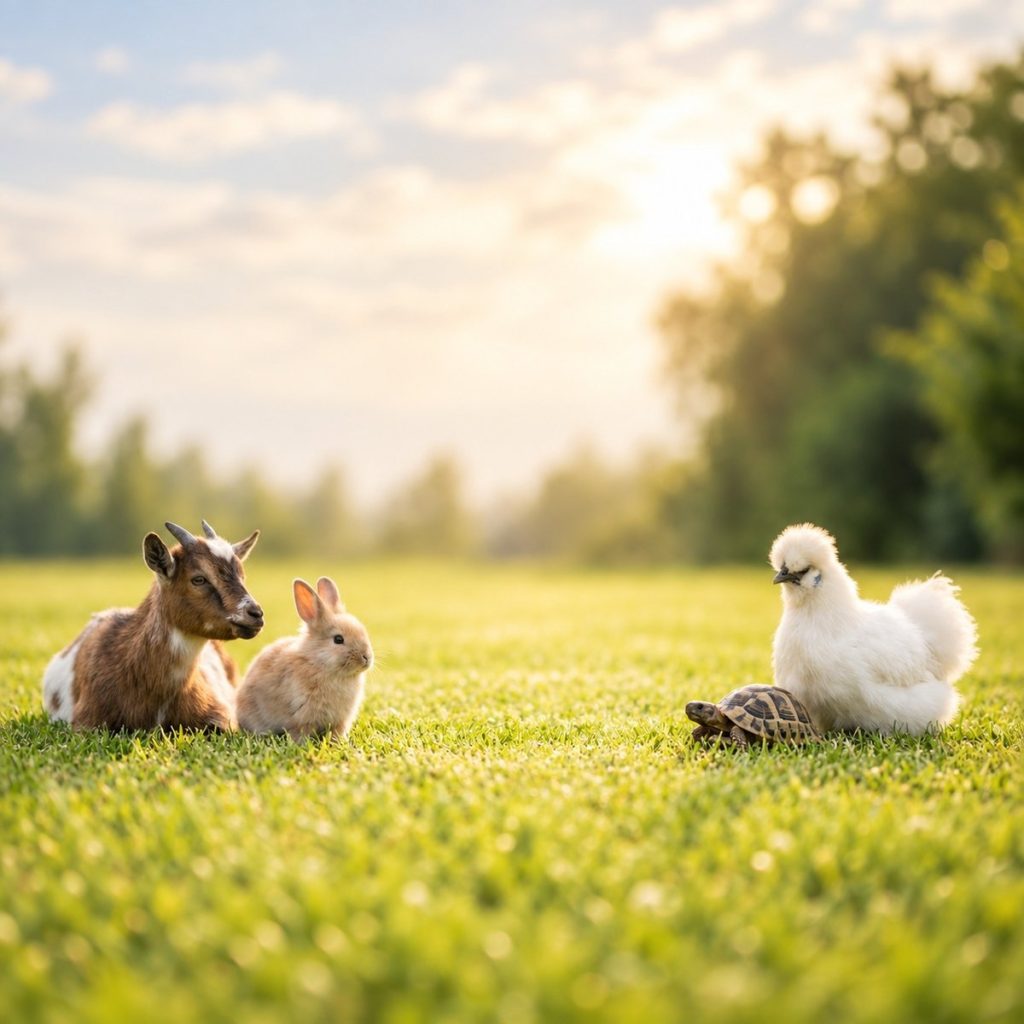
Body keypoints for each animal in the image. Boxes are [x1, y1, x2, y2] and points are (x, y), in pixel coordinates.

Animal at [236, 576, 373, 742]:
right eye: (338, 639)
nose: (367, 657)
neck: (318, 662)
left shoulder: (340, 721)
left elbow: (337, 733)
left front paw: (338, 743)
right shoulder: (302, 720)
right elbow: (300, 733)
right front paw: (301, 744)